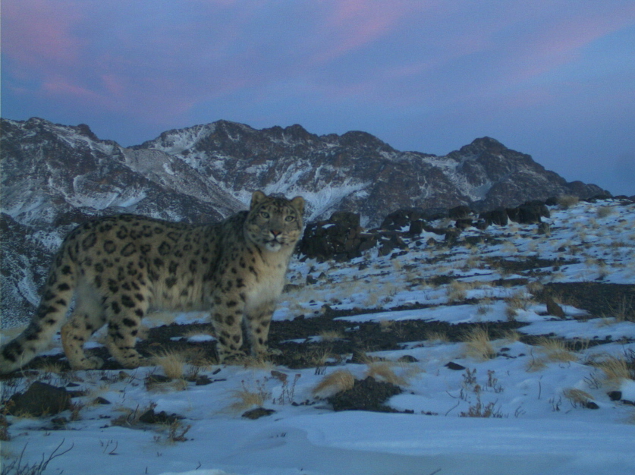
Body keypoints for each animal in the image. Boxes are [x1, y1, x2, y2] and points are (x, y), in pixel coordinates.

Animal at [0, 192, 306, 374]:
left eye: (289, 217)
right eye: (265, 214)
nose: (275, 231)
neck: (272, 262)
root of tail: (78, 230)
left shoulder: (265, 300)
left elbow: (260, 329)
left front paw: (265, 350)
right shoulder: (229, 294)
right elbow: (231, 328)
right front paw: (234, 356)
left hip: (93, 297)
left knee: (71, 327)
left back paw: (84, 363)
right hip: (129, 291)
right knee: (118, 332)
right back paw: (137, 360)